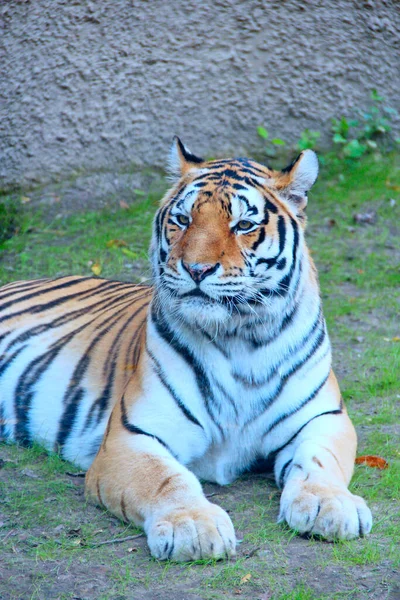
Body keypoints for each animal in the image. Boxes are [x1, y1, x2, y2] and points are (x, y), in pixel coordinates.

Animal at [0, 138, 372, 560]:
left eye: (243, 225)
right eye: (181, 219)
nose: (196, 269)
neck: (239, 338)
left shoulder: (324, 418)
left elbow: (320, 461)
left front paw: (331, 504)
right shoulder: (131, 435)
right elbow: (165, 479)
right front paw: (192, 525)